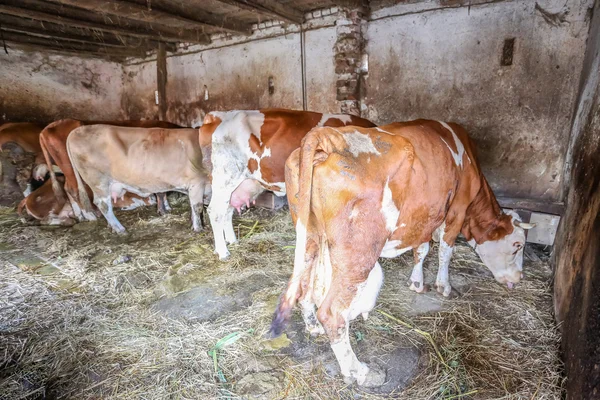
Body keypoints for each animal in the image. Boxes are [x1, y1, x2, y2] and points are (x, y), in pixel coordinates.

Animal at [35, 118, 179, 222]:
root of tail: (48, 128)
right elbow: (161, 191)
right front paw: (164, 210)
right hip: (71, 168)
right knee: (74, 189)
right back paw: (91, 216)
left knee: (67, 187)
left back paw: (80, 215)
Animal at [67, 126, 209, 234]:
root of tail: (77, 130)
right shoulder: (197, 182)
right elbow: (197, 207)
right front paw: (198, 228)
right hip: (98, 181)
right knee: (103, 204)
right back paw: (120, 229)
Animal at [198, 108, 376, 260]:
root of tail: (216, 116)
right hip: (225, 177)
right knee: (215, 211)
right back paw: (223, 252)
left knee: (227, 211)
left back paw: (232, 241)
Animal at [270, 120, 536, 386]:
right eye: (518, 245)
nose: (519, 278)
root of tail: (329, 136)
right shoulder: (456, 211)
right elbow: (445, 250)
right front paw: (443, 286)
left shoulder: (425, 215)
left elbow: (422, 248)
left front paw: (417, 282)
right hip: (357, 253)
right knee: (333, 312)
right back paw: (357, 370)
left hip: (310, 234)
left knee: (305, 285)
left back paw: (312, 325)